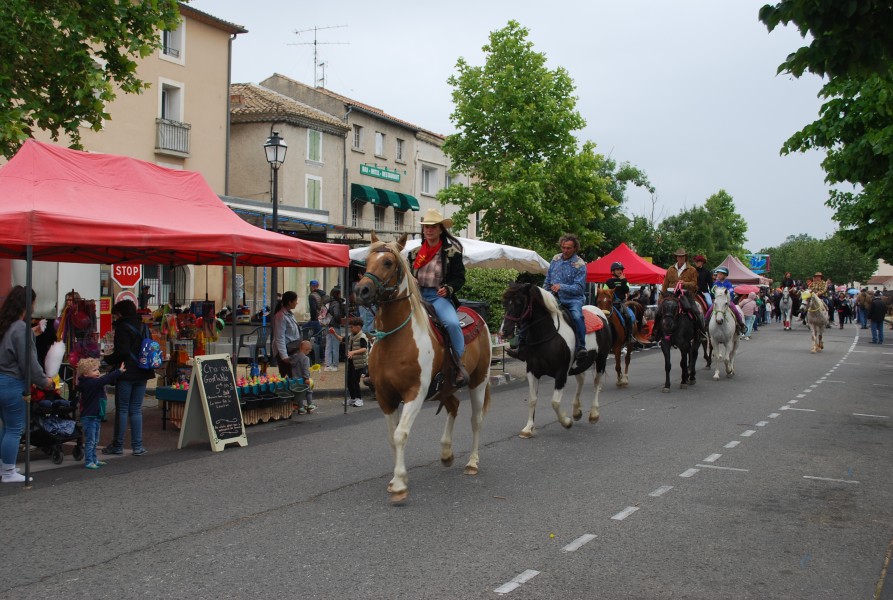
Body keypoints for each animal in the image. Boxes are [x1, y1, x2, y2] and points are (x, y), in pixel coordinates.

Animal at [352, 232, 492, 504]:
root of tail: (477, 315)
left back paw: (472, 462)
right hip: (446, 386)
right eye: (367, 260)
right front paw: (397, 479)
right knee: (454, 406)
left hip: (478, 381)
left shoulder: (414, 393)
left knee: (476, 419)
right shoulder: (385, 396)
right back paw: (446, 453)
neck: (397, 339)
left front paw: (399, 485)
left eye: (388, 262)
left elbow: (401, 434)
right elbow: (392, 438)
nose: (361, 290)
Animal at [498, 284, 608, 438]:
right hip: (579, 365)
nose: (504, 332)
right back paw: (576, 412)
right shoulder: (532, 371)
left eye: (519, 303)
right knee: (581, 380)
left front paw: (566, 422)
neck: (546, 335)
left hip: (601, 360)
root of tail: (600, 312)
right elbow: (532, 399)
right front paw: (528, 428)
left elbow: (555, 402)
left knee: (597, 383)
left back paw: (593, 414)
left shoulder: (561, 373)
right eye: (504, 303)